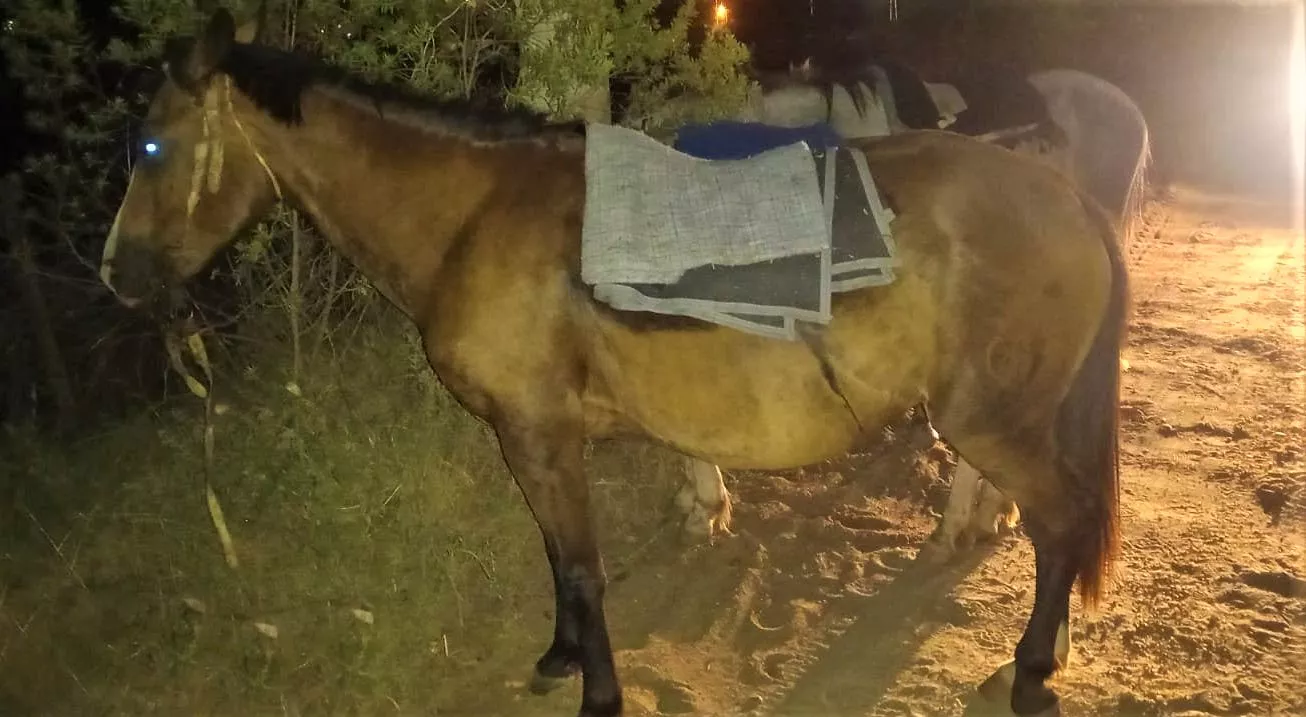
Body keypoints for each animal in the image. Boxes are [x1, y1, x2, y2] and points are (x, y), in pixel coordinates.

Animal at [99, 7, 1128, 716]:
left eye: (152, 145)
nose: (117, 273)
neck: (477, 216)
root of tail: (1067, 197)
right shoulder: (536, 438)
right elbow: (562, 560)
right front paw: (560, 657)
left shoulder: (538, 431)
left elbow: (584, 566)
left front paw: (598, 690)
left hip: (991, 420)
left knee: (1062, 521)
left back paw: (1029, 672)